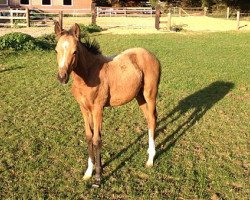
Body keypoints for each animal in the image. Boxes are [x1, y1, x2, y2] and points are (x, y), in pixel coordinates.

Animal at [54, 22, 161, 188]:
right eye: (56, 50)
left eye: (75, 51)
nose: (62, 77)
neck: (88, 74)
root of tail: (151, 55)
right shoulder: (84, 109)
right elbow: (89, 136)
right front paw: (88, 172)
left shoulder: (98, 108)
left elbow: (97, 139)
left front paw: (98, 178)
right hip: (140, 97)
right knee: (150, 120)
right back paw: (149, 153)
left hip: (150, 94)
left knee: (152, 119)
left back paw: (150, 160)